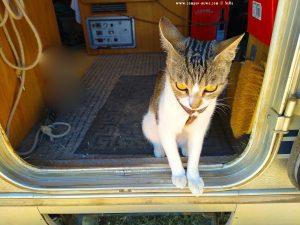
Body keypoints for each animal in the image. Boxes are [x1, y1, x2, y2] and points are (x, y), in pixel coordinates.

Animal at [142, 17, 243, 195]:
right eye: (181, 86)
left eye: (210, 88)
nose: (194, 104)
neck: (188, 113)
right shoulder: (165, 125)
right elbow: (171, 151)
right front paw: (179, 175)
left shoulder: (200, 127)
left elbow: (196, 153)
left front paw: (193, 178)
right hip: (148, 121)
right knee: (156, 138)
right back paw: (160, 149)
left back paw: (186, 148)